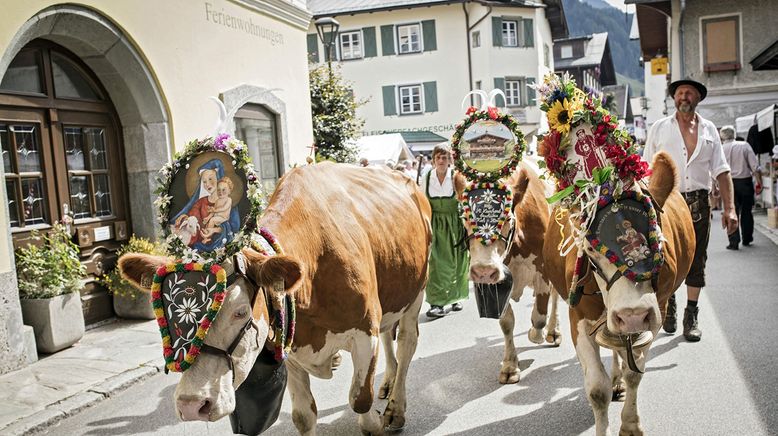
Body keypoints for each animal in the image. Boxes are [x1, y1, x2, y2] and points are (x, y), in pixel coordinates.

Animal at [454, 158, 556, 384]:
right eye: (464, 218)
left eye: (507, 219)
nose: (483, 271)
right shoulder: (500, 279)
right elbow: (506, 322)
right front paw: (510, 365)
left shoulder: (544, 270)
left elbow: (539, 317)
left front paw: (536, 334)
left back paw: (553, 331)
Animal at [532, 72, 692, 436]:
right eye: (589, 250)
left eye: (657, 239)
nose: (632, 314)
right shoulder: (579, 317)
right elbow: (597, 389)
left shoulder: (656, 310)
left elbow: (635, 372)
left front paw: (630, 423)